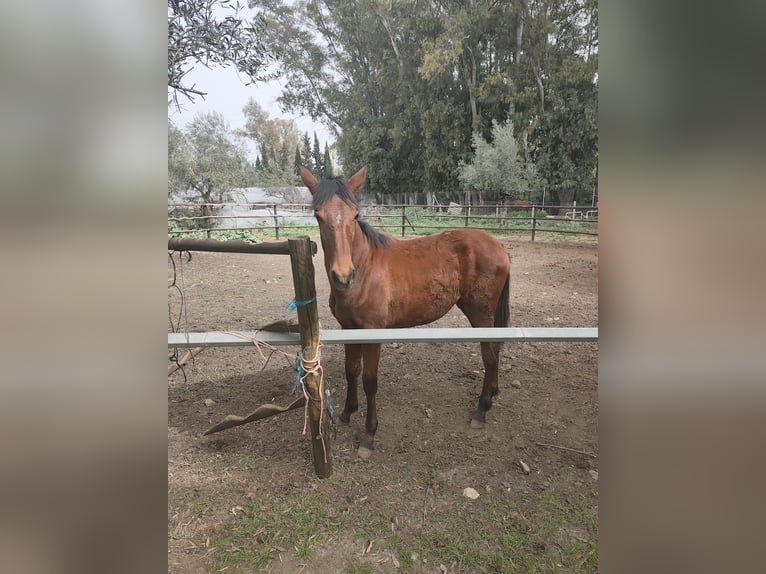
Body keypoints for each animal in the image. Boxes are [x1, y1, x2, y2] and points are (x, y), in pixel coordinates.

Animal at [300, 166, 511, 459]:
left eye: (355, 215)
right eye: (318, 216)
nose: (343, 276)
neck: (365, 268)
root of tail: (498, 246)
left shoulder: (372, 333)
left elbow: (369, 381)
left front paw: (368, 435)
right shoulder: (349, 328)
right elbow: (351, 370)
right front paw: (347, 413)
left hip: (481, 314)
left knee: (490, 356)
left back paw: (481, 409)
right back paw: (493, 393)